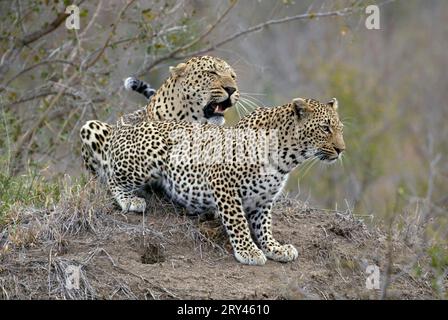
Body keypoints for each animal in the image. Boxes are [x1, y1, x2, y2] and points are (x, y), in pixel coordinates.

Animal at [105, 95, 346, 264]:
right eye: (325, 128)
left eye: (340, 129)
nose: (341, 149)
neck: (286, 158)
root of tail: (127, 126)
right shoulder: (223, 181)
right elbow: (238, 221)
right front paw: (248, 251)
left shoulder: (264, 198)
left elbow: (264, 225)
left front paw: (274, 247)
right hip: (147, 157)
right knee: (111, 176)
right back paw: (129, 200)